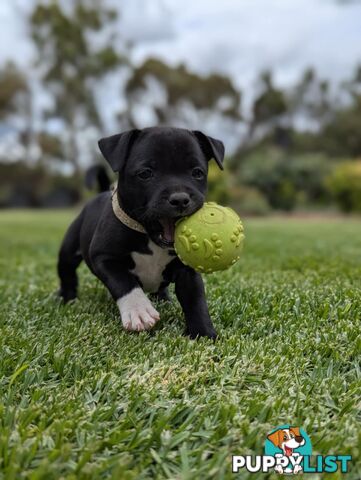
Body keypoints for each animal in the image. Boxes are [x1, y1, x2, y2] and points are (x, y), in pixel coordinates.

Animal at [57, 125, 224, 340]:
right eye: (145, 174)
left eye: (197, 173)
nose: (180, 199)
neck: (150, 237)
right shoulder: (104, 257)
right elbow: (124, 282)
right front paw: (138, 310)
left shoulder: (188, 271)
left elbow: (195, 299)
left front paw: (203, 333)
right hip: (68, 251)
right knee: (67, 273)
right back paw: (66, 298)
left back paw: (163, 298)